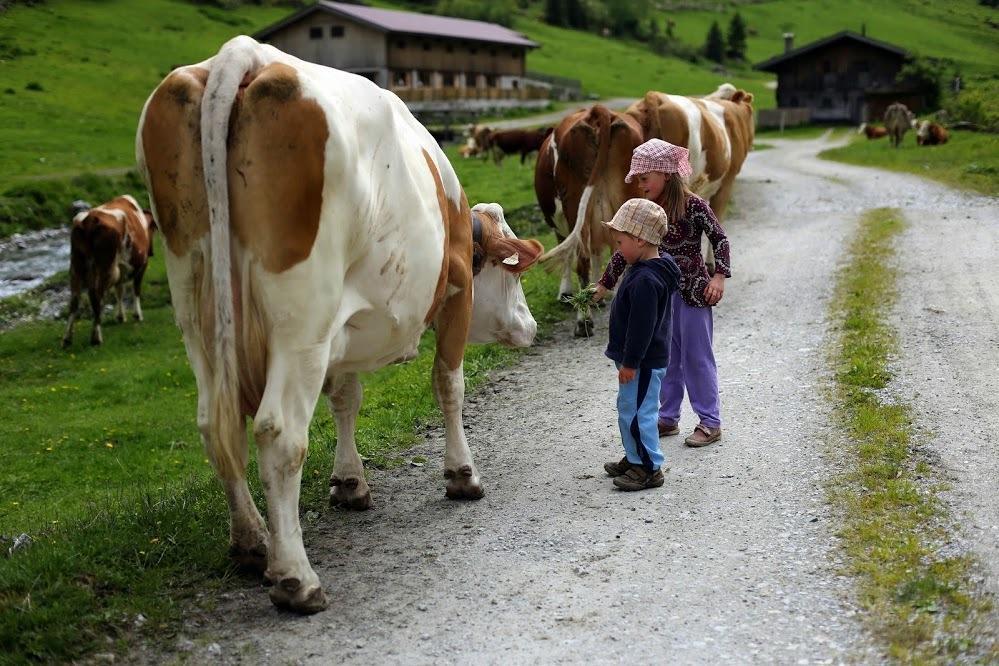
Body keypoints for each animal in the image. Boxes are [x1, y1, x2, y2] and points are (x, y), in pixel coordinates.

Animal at [61, 193, 155, 344]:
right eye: (153, 229)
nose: (152, 252)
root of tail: (90, 219)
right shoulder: (142, 265)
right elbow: (135, 289)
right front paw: (137, 315)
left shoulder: (121, 268)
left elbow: (119, 291)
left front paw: (121, 317)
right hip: (106, 267)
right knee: (96, 295)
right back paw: (96, 337)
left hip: (76, 266)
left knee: (75, 299)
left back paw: (67, 339)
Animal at [137, 36, 544, 612]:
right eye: (514, 275)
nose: (531, 326)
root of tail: (246, 54)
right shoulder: (456, 294)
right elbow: (449, 385)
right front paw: (461, 475)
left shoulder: (345, 323)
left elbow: (346, 399)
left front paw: (350, 483)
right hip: (301, 313)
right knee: (279, 431)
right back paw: (295, 577)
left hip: (196, 305)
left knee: (216, 427)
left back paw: (251, 542)